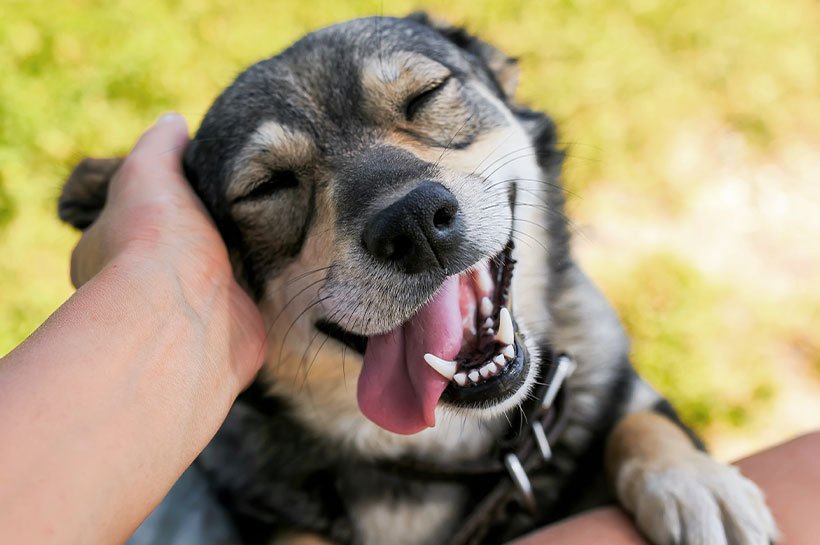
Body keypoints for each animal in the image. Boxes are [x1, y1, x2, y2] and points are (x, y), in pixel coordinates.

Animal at [60, 12, 780, 544]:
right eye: (267, 187)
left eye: (426, 95)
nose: (412, 224)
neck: (453, 451)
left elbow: (640, 422)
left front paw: (693, 482)